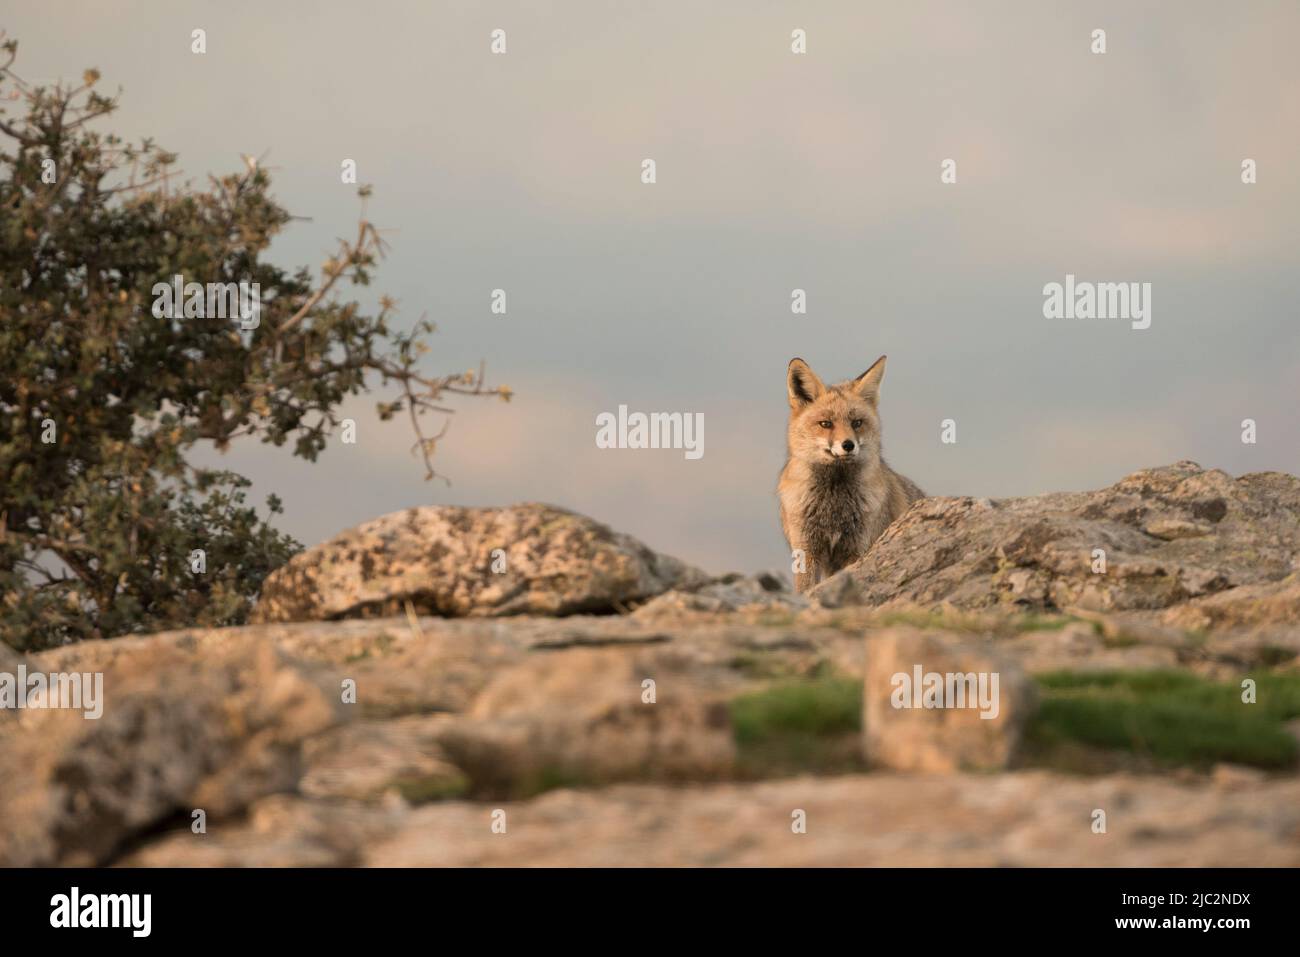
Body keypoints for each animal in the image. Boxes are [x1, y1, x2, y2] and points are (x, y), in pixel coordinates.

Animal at [774, 356, 920, 595]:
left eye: (856, 423)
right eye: (826, 424)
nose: (848, 445)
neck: (833, 505)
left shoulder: (858, 549)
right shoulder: (806, 549)